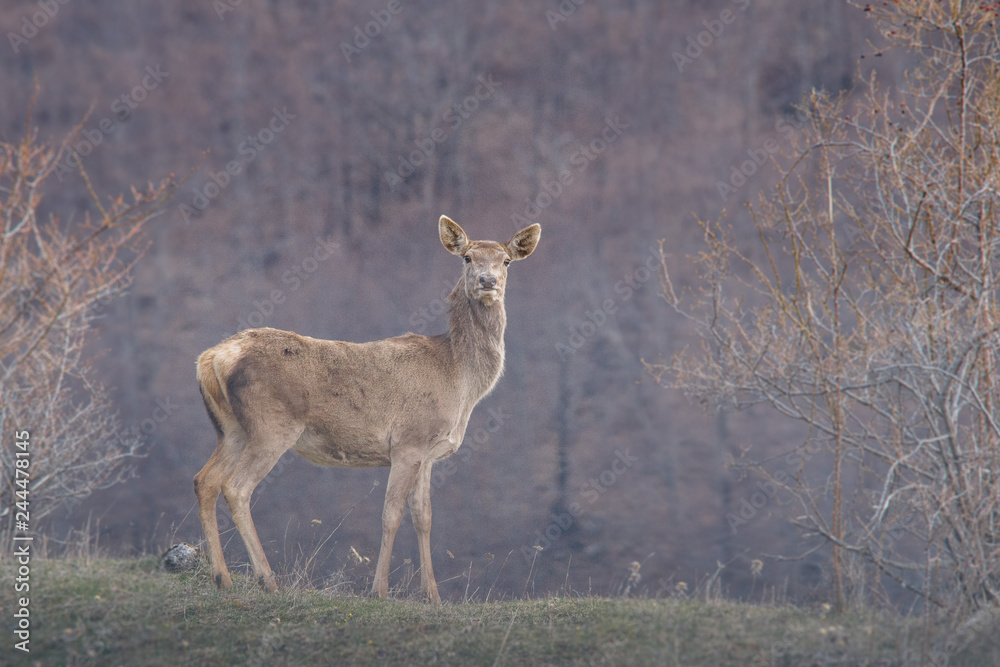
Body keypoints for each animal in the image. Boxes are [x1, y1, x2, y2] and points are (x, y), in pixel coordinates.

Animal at [193, 216, 540, 603]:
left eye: (506, 261)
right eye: (467, 257)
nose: (487, 281)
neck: (459, 378)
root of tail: (211, 358)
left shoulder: (428, 452)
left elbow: (424, 517)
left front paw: (432, 596)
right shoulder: (408, 442)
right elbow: (391, 514)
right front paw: (380, 590)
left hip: (231, 429)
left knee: (205, 480)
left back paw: (222, 577)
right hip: (271, 426)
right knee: (236, 487)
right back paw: (266, 579)